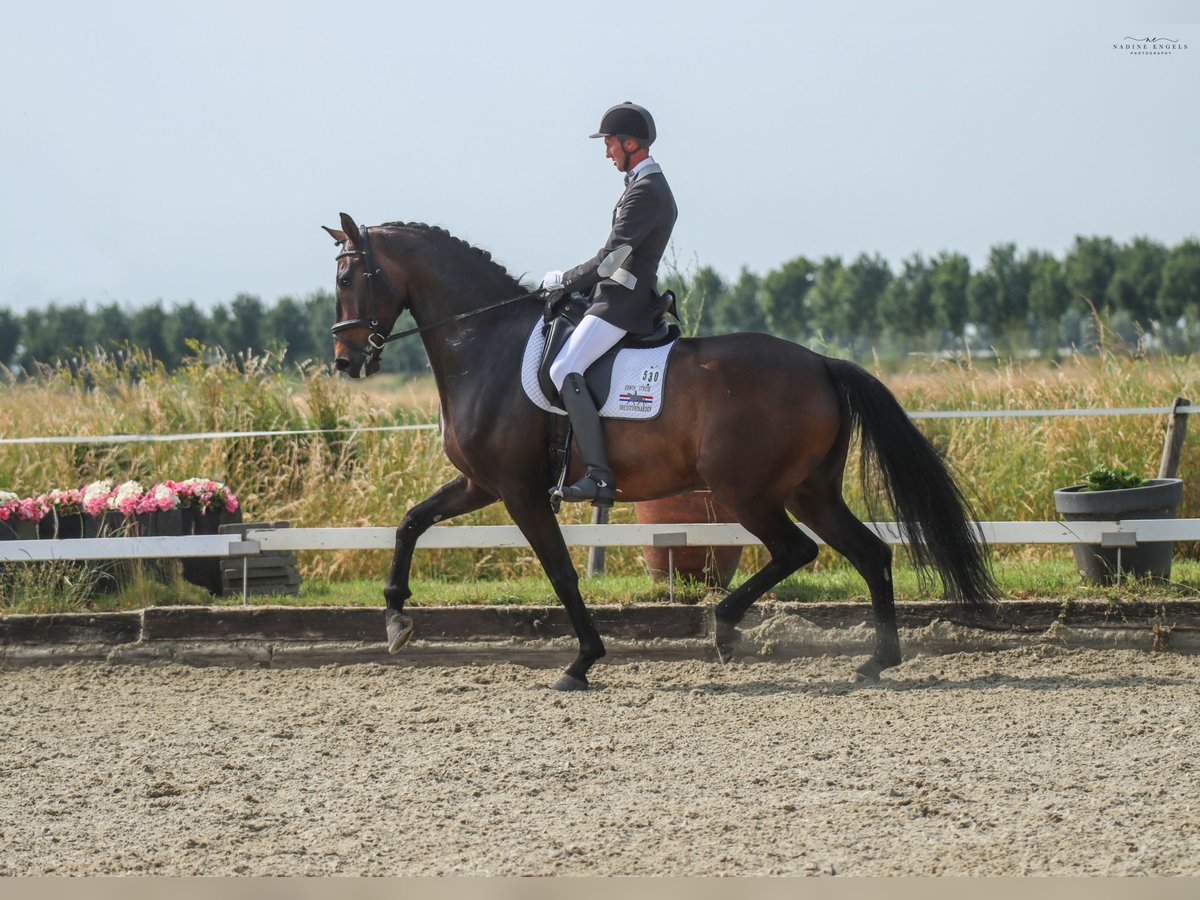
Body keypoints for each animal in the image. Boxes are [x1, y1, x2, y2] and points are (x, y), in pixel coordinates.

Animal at [324, 214, 998, 696]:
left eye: (346, 279)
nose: (345, 362)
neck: (485, 346)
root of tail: (821, 363)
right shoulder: (481, 484)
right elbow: (411, 522)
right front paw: (396, 621)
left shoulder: (517, 491)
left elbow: (561, 572)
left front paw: (582, 662)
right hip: (811, 490)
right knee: (869, 552)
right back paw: (875, 661)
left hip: (745, 490)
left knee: (796, 550)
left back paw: (726, 629)